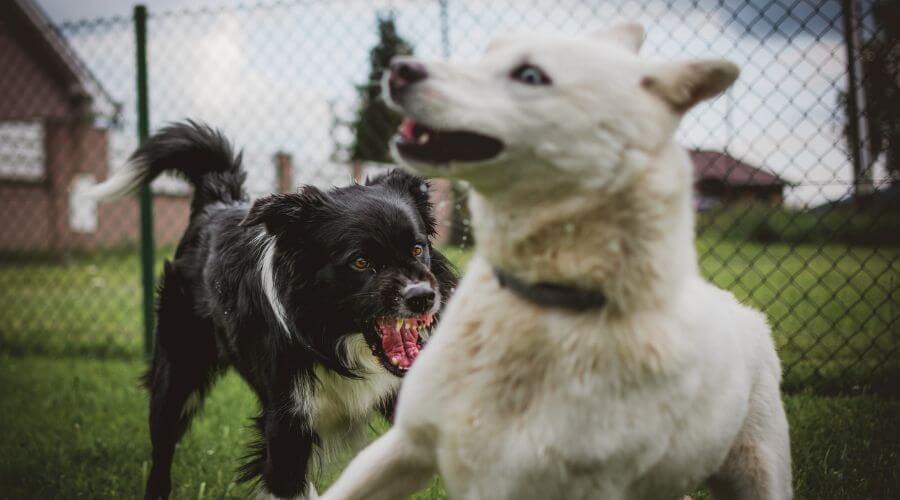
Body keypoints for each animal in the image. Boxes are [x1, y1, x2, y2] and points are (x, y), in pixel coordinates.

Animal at [89, 122, 458, 500]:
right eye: (360, 261)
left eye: (417, 249)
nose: (423, 297)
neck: (335, 339)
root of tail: (217, 201)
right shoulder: (286, 426)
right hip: (177, 372)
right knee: (162, 450)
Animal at [322, 24, 788, 500]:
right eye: (488, 51)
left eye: (530, 75)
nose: (399, 68)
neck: (540, 307)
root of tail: (742, 309)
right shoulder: (406, 445)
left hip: (758, 471)